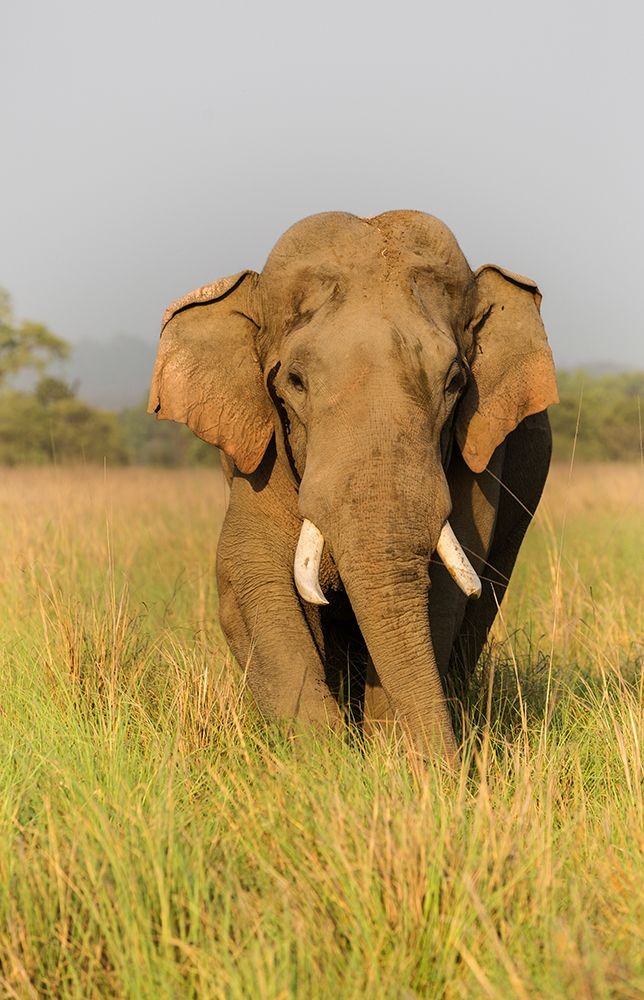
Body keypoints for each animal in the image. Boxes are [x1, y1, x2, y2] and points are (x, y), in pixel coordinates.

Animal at [148, 211, 558, 765]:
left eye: (455, 382)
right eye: (294, 381)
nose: (456, 773)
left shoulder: (480, 452)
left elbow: (446, 589)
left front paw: (389, 757)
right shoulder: (259, 450)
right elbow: (249, 571)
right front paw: (329, 763)